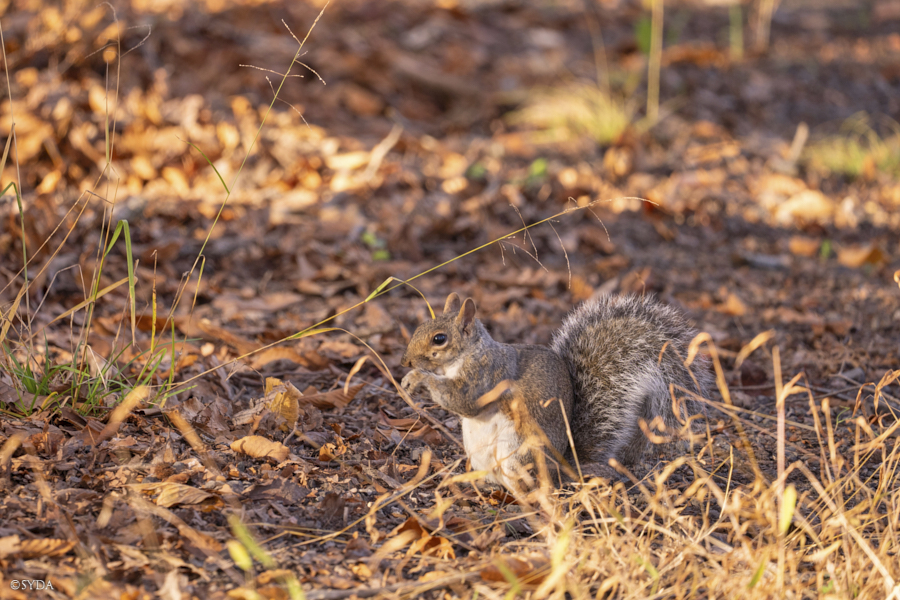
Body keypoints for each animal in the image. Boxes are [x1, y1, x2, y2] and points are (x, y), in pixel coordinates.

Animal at [400, 292, 710, 491]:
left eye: (439, 339)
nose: (406, 361)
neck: (467, 355)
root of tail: (561, 467)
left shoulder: (486, 377)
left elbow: (463, 400)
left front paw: (418, 378)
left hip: (519, 451)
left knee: (530, 485)